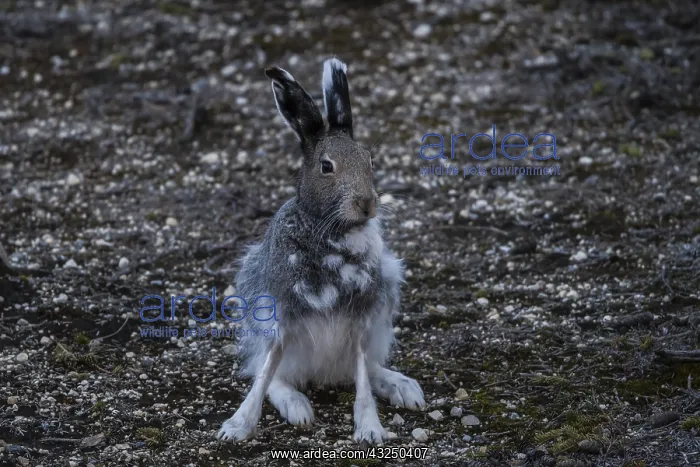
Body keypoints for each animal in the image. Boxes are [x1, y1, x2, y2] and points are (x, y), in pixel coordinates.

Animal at [217, 58, 425, 445]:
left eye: (369, 160)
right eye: (326, 166)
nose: (367, 204)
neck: (334, 234)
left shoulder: (363, 316)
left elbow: (361, 377)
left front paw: (370, 429)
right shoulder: (280, 313)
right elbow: (266, 371)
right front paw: (237, 428)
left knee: (367, 368)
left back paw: (404, 389)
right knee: (273, 375)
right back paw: (298, 407)